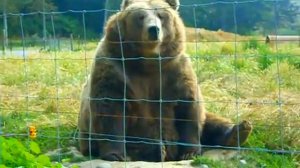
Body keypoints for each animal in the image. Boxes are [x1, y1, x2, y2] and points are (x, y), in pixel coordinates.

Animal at [78, 0, 252, 162]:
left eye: (161, 15)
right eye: (141, 16)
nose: (153, 29)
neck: (148, 61)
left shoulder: (175, 70)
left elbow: (188, 107)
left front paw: (190, 152)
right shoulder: (114, 67)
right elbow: (110, 108)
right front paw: (116, 155)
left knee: (211, 121)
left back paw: (239, 130)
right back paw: (155, 150)